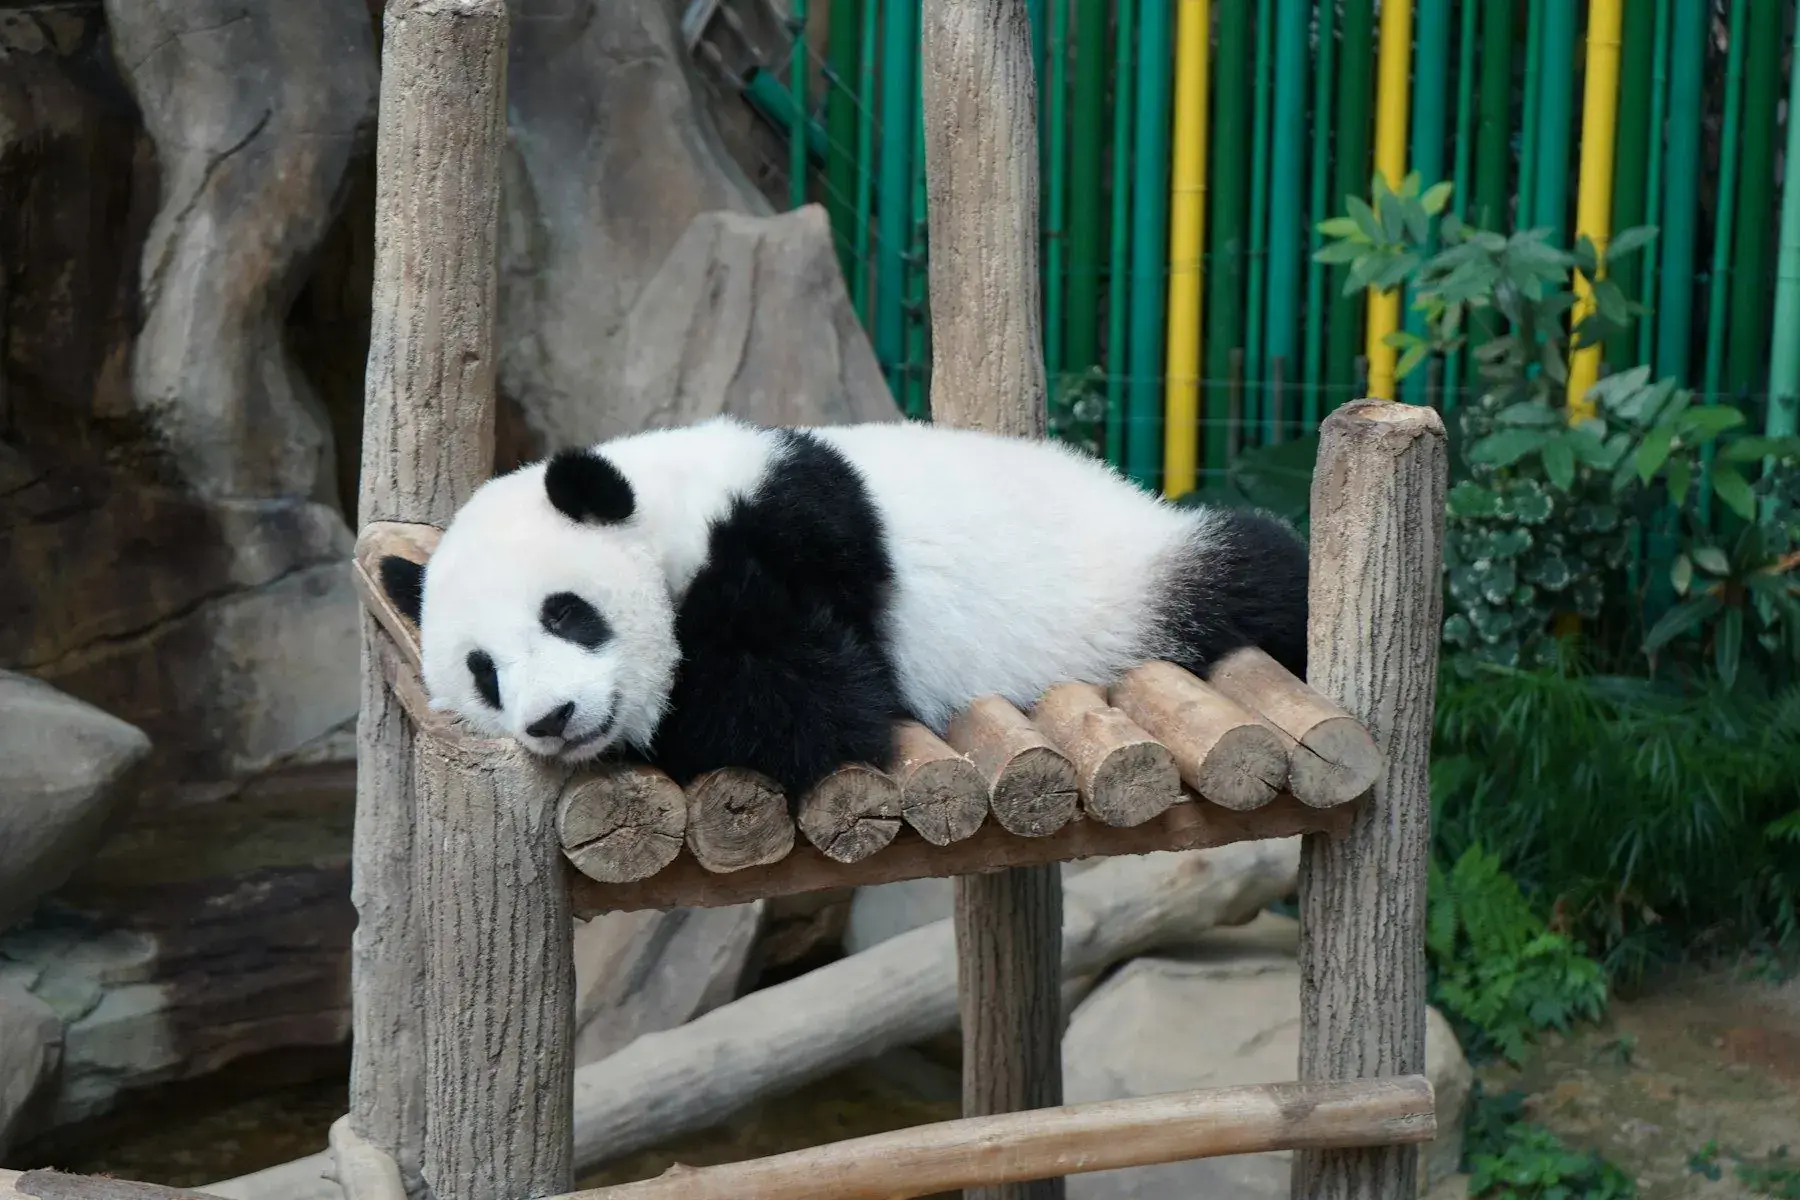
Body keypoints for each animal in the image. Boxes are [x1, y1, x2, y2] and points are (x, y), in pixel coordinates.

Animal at [375, 415, 1308, 799]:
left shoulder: (798, 533)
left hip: (1137, 580)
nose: (552, 718)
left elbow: (815, 703)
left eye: (566, 613)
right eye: (484, 673)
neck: (673, 510)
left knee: (1259, 574)